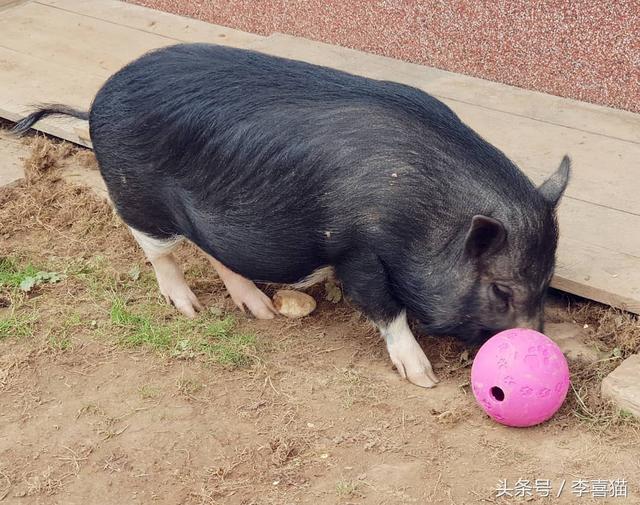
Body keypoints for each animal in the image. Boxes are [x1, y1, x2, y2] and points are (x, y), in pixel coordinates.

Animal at [13, 44, 568, 390]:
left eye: (546, 282)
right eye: (501, 289)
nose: (535, 343)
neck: (420, 216)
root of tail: (95, 102)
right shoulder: (358, 250)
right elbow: (385, 308)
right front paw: (424, 378)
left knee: (217, 252)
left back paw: (259, 309)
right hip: (137, 199)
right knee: (161, 254)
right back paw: (188, 309)